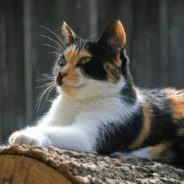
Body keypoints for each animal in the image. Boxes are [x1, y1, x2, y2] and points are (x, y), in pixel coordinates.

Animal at [8, 20, 184, 167]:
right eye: (62, 61)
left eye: (85, 61)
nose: (60, 74)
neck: (79, 102)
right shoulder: (53, 119)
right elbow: (47, 126)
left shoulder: (91, 133)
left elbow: (55, 131)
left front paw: (25, 135)